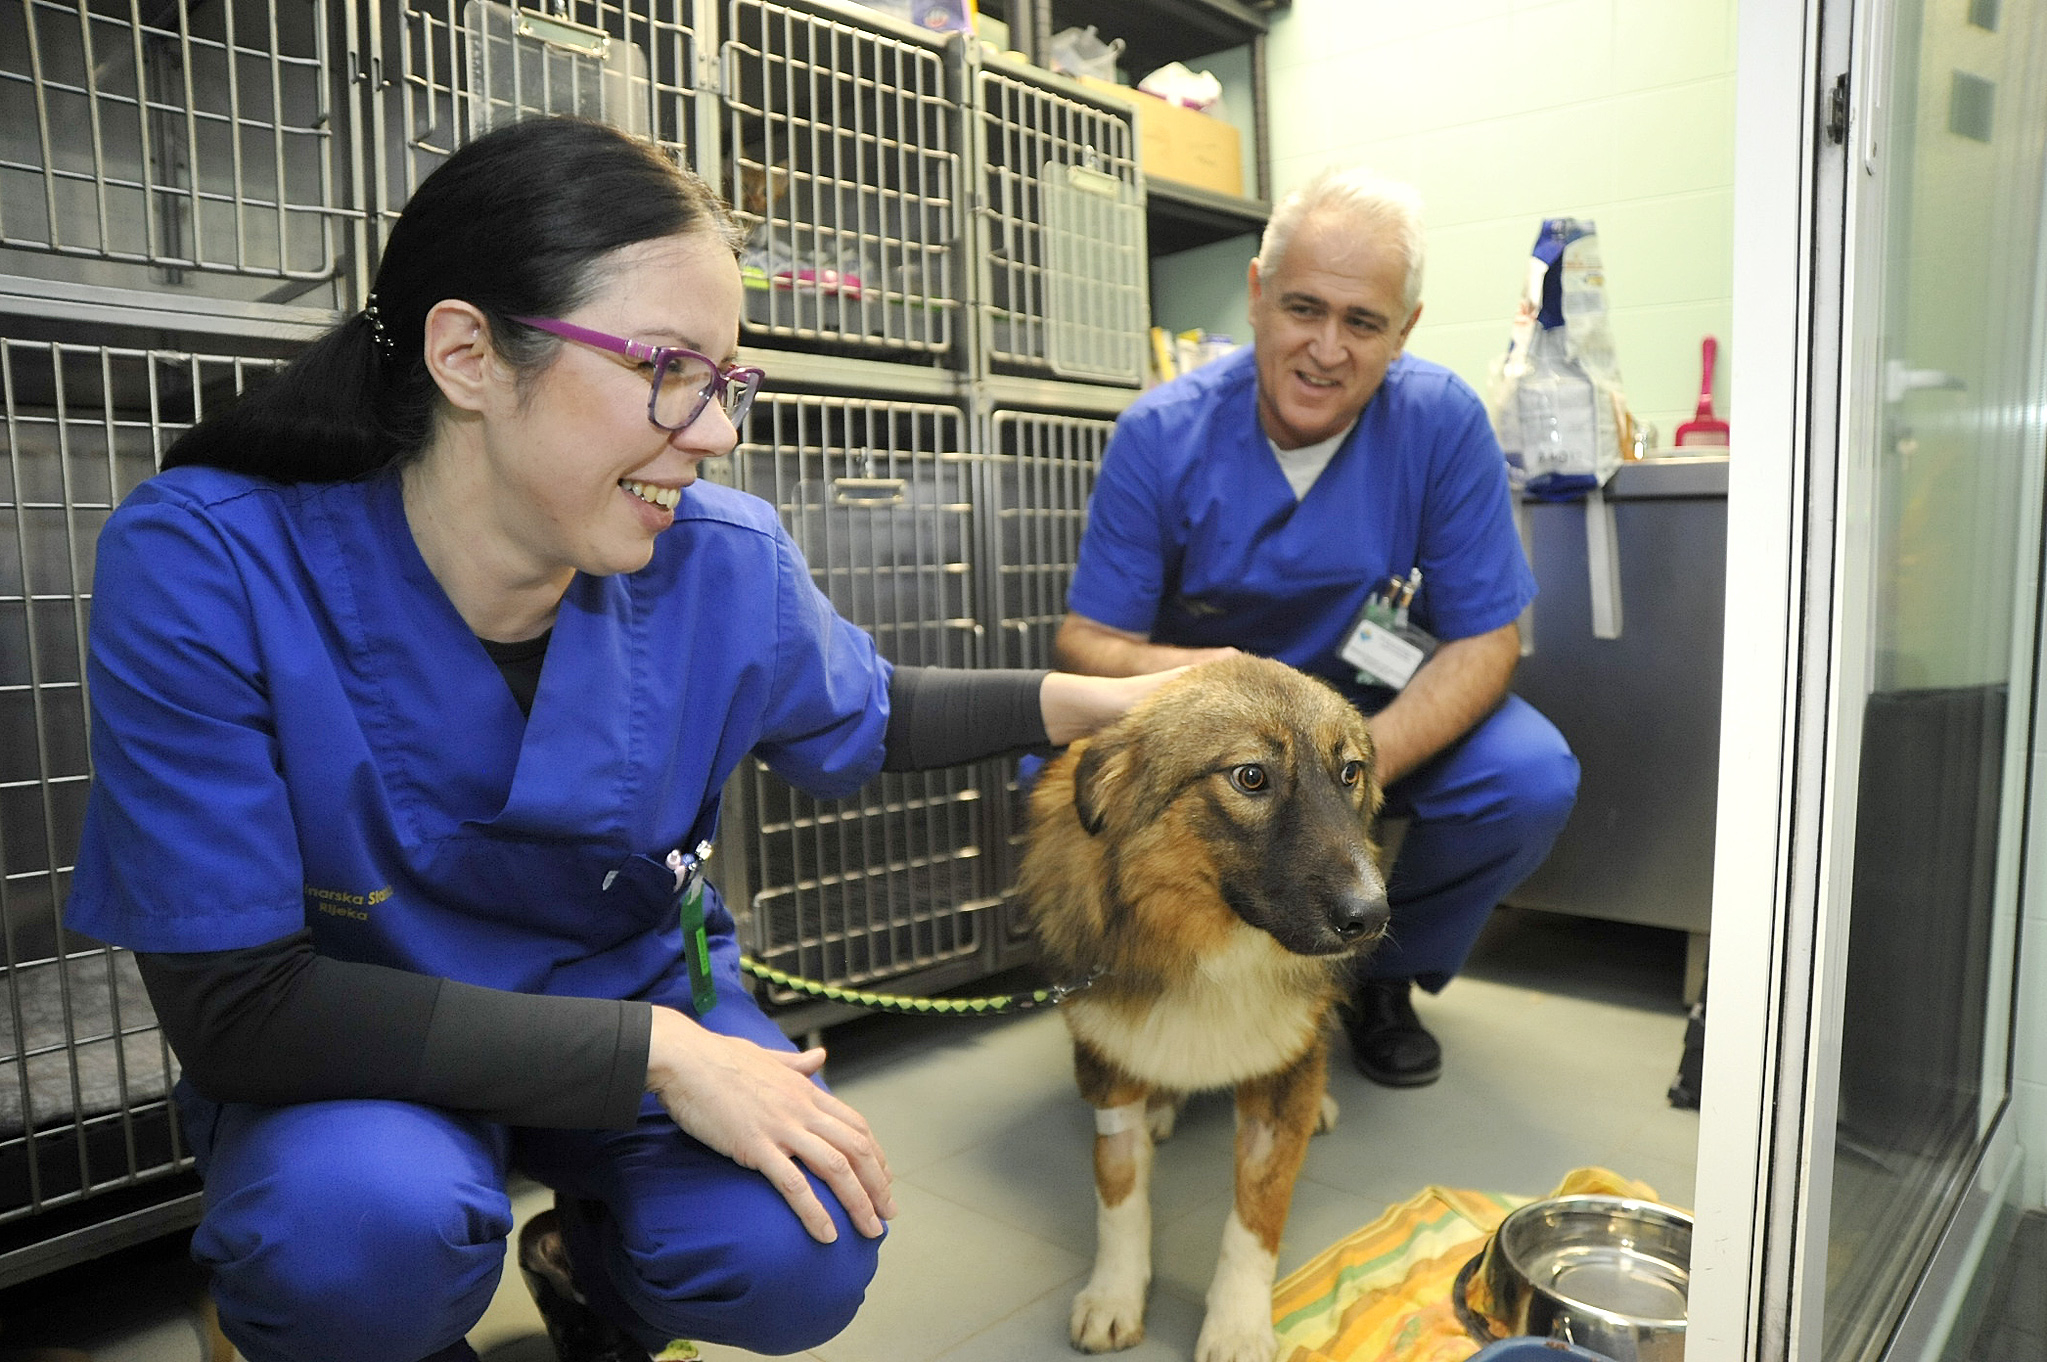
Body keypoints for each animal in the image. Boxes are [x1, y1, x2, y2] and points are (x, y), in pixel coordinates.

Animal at [1023, 655, 1391, 1351]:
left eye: (1350, 772)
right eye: (1251, 776)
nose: (1372, 917)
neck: (1215, 950)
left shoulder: (1278, 1088)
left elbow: (1256, 1219)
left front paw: (1239, 1327)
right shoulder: (1107, 1060)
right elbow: (1118, 1191)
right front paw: (1114, 1293)